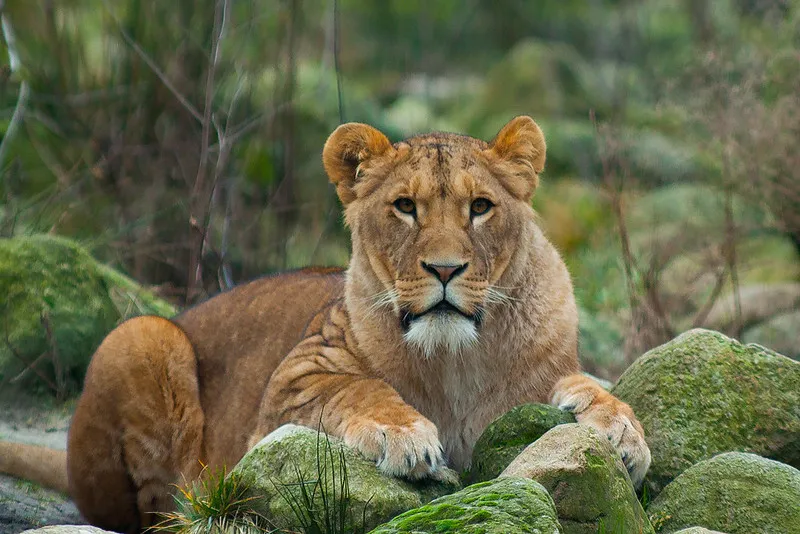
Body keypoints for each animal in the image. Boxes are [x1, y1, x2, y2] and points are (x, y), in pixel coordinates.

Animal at [0, 116, 650, 533]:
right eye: (405, 207)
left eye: (481, 207)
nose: (445, 269)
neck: (455, 356)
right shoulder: (287, 389)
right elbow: (359, 387)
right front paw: (403, 436)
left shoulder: (546, 371)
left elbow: (588, 385)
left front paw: (623, 433)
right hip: (141, 335)